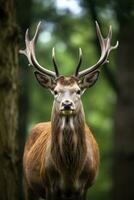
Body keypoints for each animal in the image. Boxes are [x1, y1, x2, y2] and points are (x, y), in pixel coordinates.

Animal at [19, 21, 118, 200]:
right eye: (55, 91)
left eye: (78, 90)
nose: (66, 104)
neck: (70, 173)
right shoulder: (48, 185)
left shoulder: (85, 186)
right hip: (27, 183)